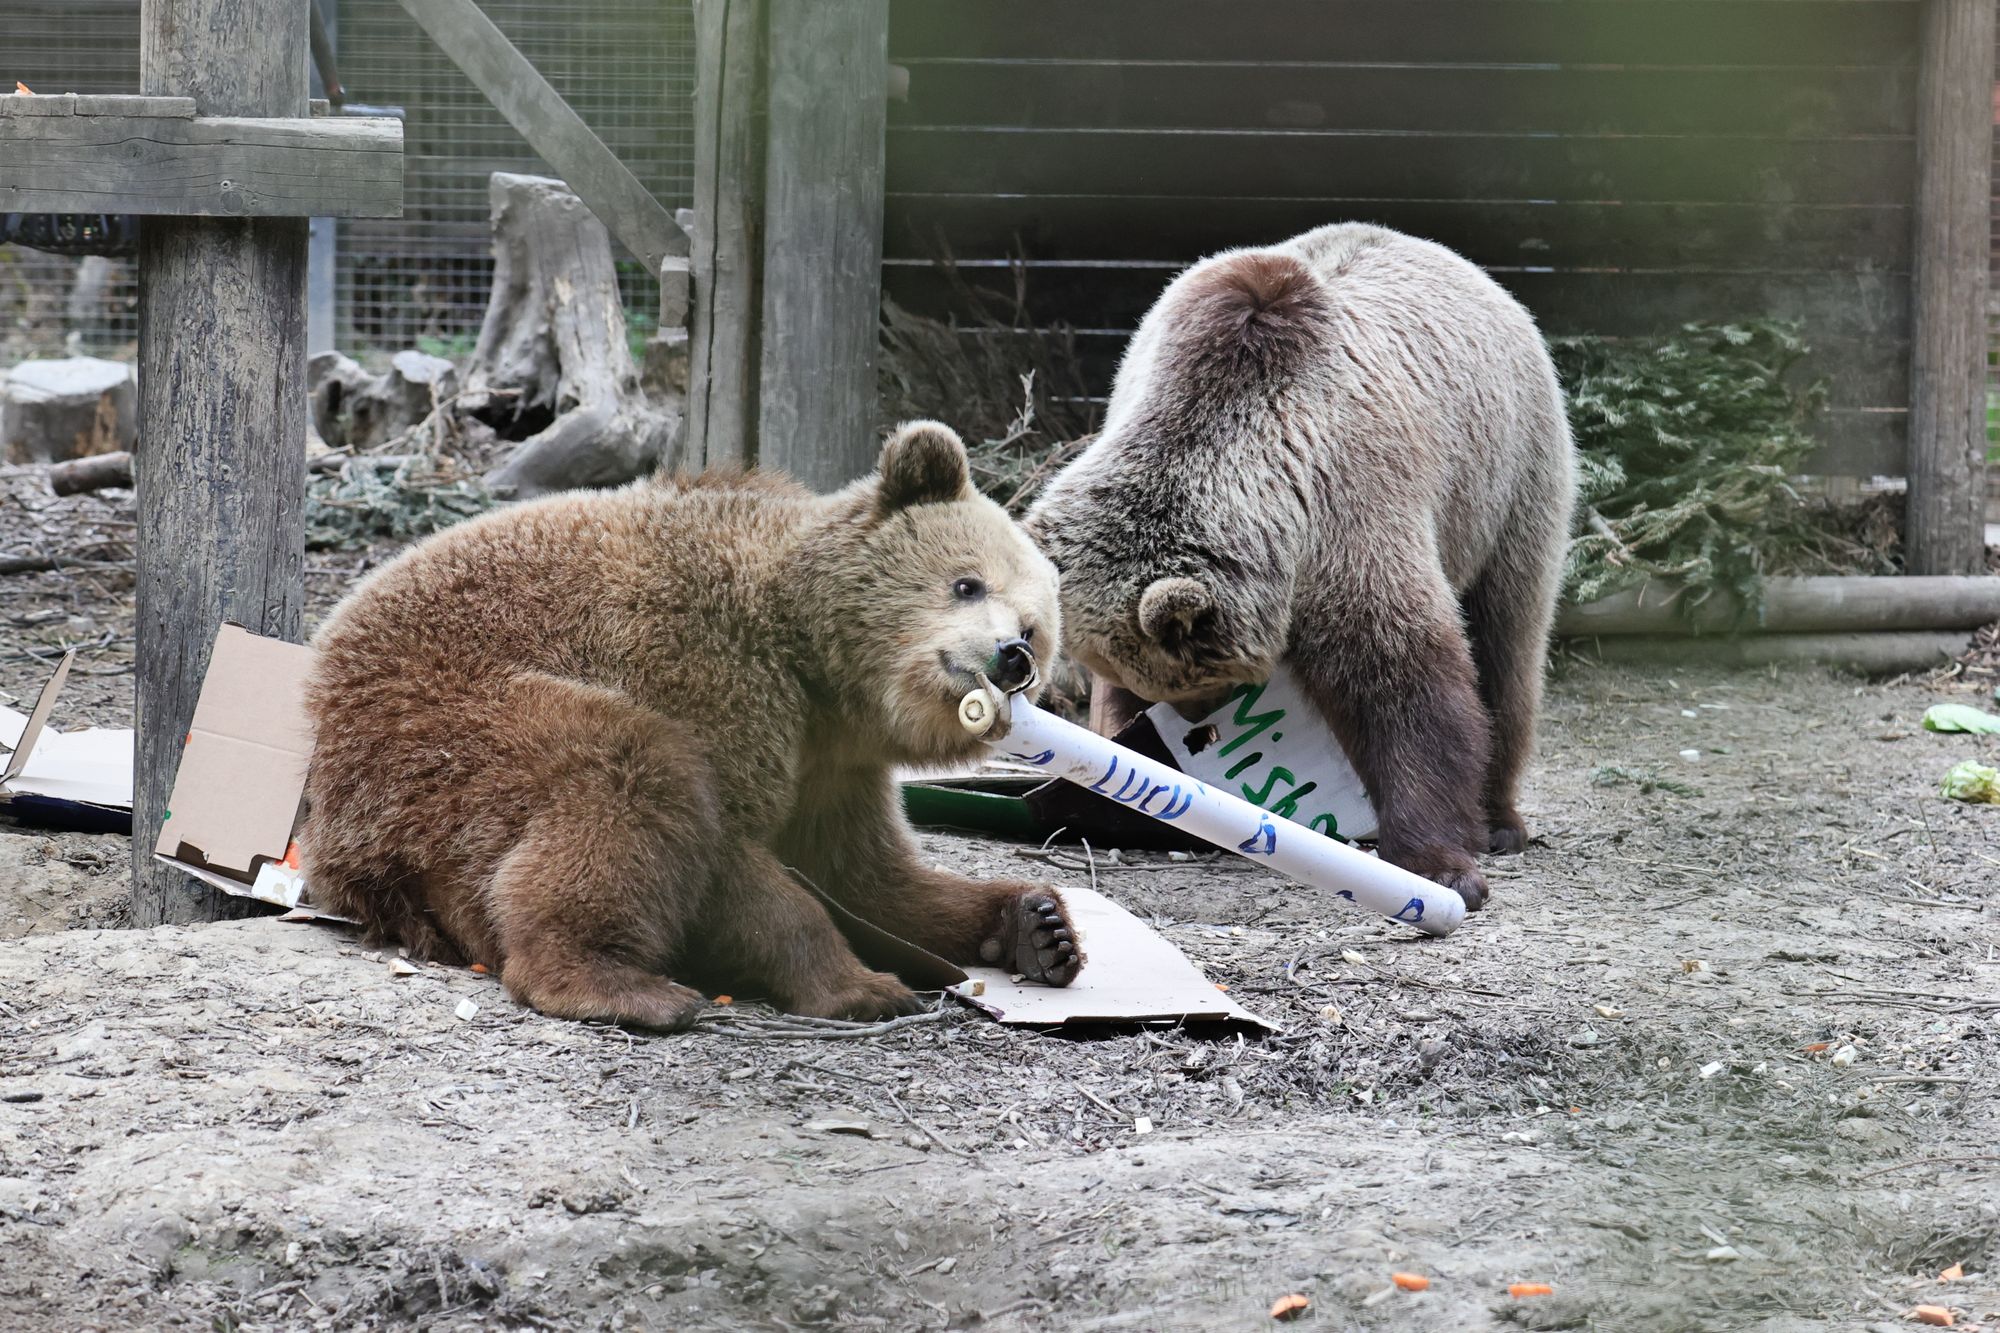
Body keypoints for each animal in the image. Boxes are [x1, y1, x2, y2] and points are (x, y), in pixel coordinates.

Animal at [300, 421, 1083, 1030]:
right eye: (966, 582)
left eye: (1034, 630)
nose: (1009, 656)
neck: (816, 670)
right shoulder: (705, 666)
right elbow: (734, 854)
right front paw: (862, 985)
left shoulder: (834, 767)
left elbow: (867, 873)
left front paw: (1037, 924)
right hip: (441, 723)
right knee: (628, 775)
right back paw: (620, 984)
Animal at [1026, 222, 1578, 910]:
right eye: (1158, 685)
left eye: (1195, 682)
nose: (1194, 727)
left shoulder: (1349, 504)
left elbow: (1406, 684)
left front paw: (1439, 864)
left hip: (1508, 479)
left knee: (1507, 640)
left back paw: (1501, 820)